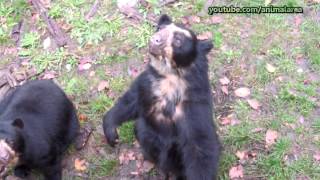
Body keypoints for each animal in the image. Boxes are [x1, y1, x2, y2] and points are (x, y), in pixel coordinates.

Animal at [104, 14, 221, 179]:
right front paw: (112, 135)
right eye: (160, 28)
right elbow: (130, 101)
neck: (170, 78)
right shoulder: (148, 85)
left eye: (178, 40)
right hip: (145, 131)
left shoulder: (193, 104)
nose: (155, 39)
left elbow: (200, 144)